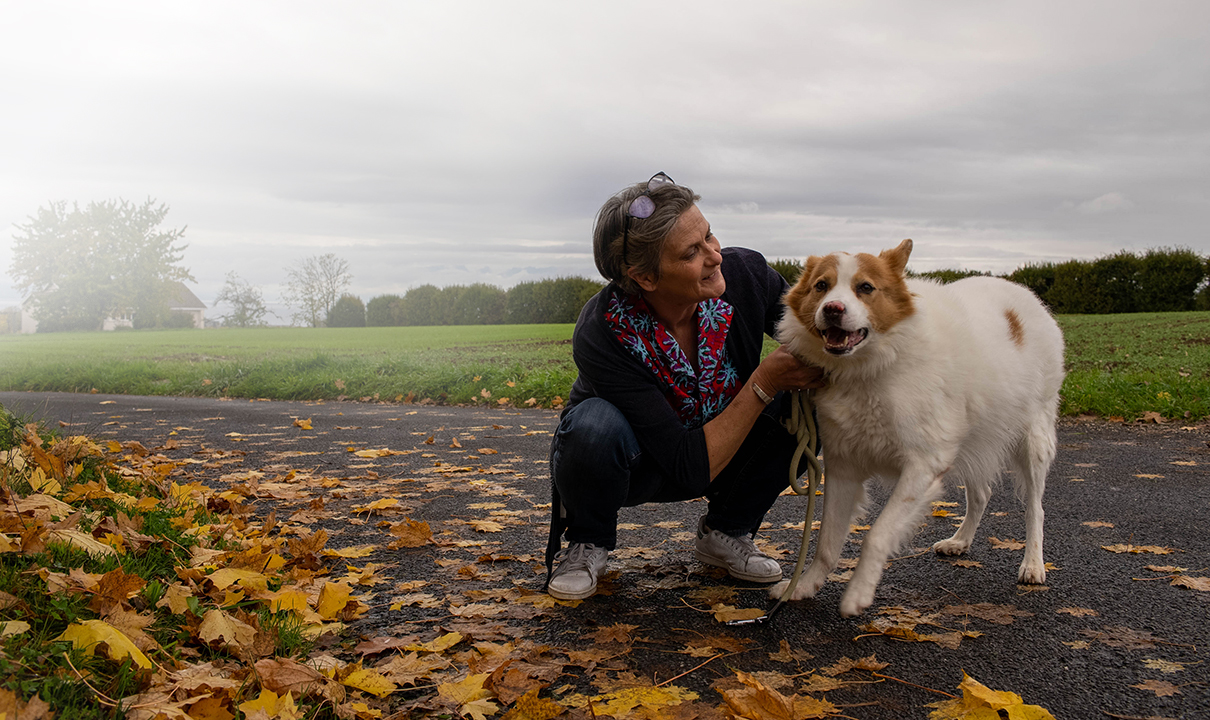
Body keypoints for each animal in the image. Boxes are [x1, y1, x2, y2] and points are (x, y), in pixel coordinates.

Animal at [769, 239, 1064, 617]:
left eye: (865, 288)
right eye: (821, 285)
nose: (833, 309)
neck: (871, 367)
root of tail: (1024, 294)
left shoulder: (923, 466)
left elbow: (877, 534)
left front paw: (858, 593)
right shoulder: (843, 467)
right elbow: (826, 541)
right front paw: (804, 586)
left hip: (1033, 442)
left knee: (1035, 509)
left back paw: (1033, 564)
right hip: (973, 440)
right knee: (981, 494)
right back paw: (960, 541)